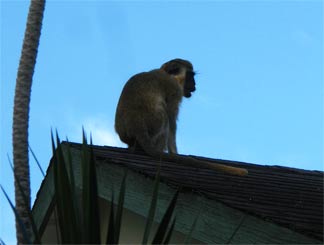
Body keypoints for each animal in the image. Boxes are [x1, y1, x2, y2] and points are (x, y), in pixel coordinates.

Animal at [114, 58, 248, 175]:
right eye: (190, 76)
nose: (195, 84)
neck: (167, 74)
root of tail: (136, 126)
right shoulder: (175, 89)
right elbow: (171, 120)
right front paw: (175, 154)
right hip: (154, 124)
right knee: (165, 118)